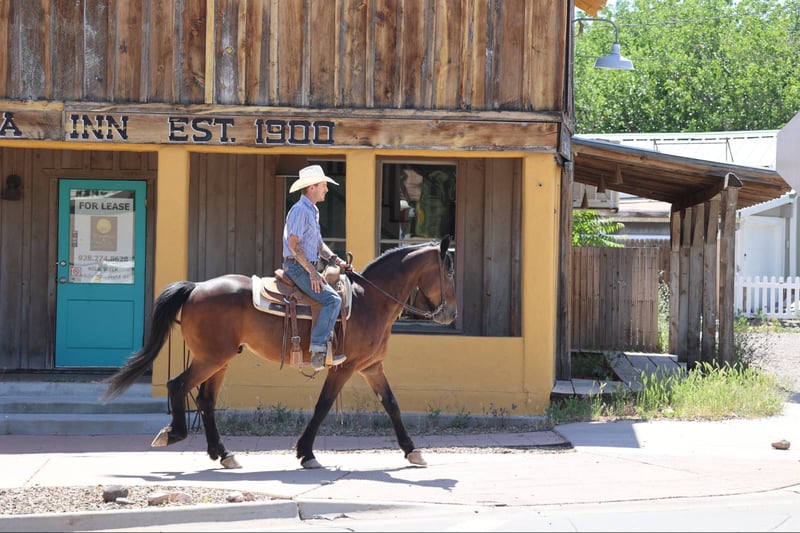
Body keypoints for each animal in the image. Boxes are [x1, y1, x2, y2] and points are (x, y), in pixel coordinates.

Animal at [102, 236, 457, 470]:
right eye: (449, 271)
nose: (450, 314)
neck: (369, 300)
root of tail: (196, 288)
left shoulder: (372, 367)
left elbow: (392, 404)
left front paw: (412, 450)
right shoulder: (344, 367)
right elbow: (323, 406)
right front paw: (306, 453)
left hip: (219, 359)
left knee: (205, 400)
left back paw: (223, 453)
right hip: (211, 358)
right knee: (177, 385)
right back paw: (174, 433)